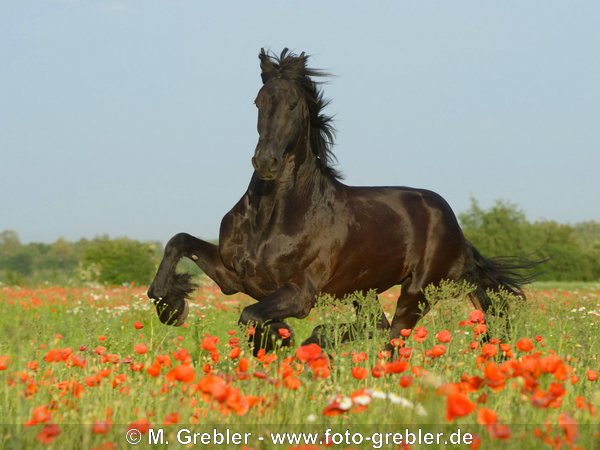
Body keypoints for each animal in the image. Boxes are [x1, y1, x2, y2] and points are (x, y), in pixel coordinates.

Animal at [149, 49, 540, 356]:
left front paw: (277, 341)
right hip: (363, 292)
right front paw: (170, 306)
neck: (273, 218)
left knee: (392, 337)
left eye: (293, 104)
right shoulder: (234, 276)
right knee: (376, 326)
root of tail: (456, 230)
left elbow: (251, 316)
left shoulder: (300, 294)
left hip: (417, 293)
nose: (266, 162)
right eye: (258, 101)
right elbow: (179, 241)